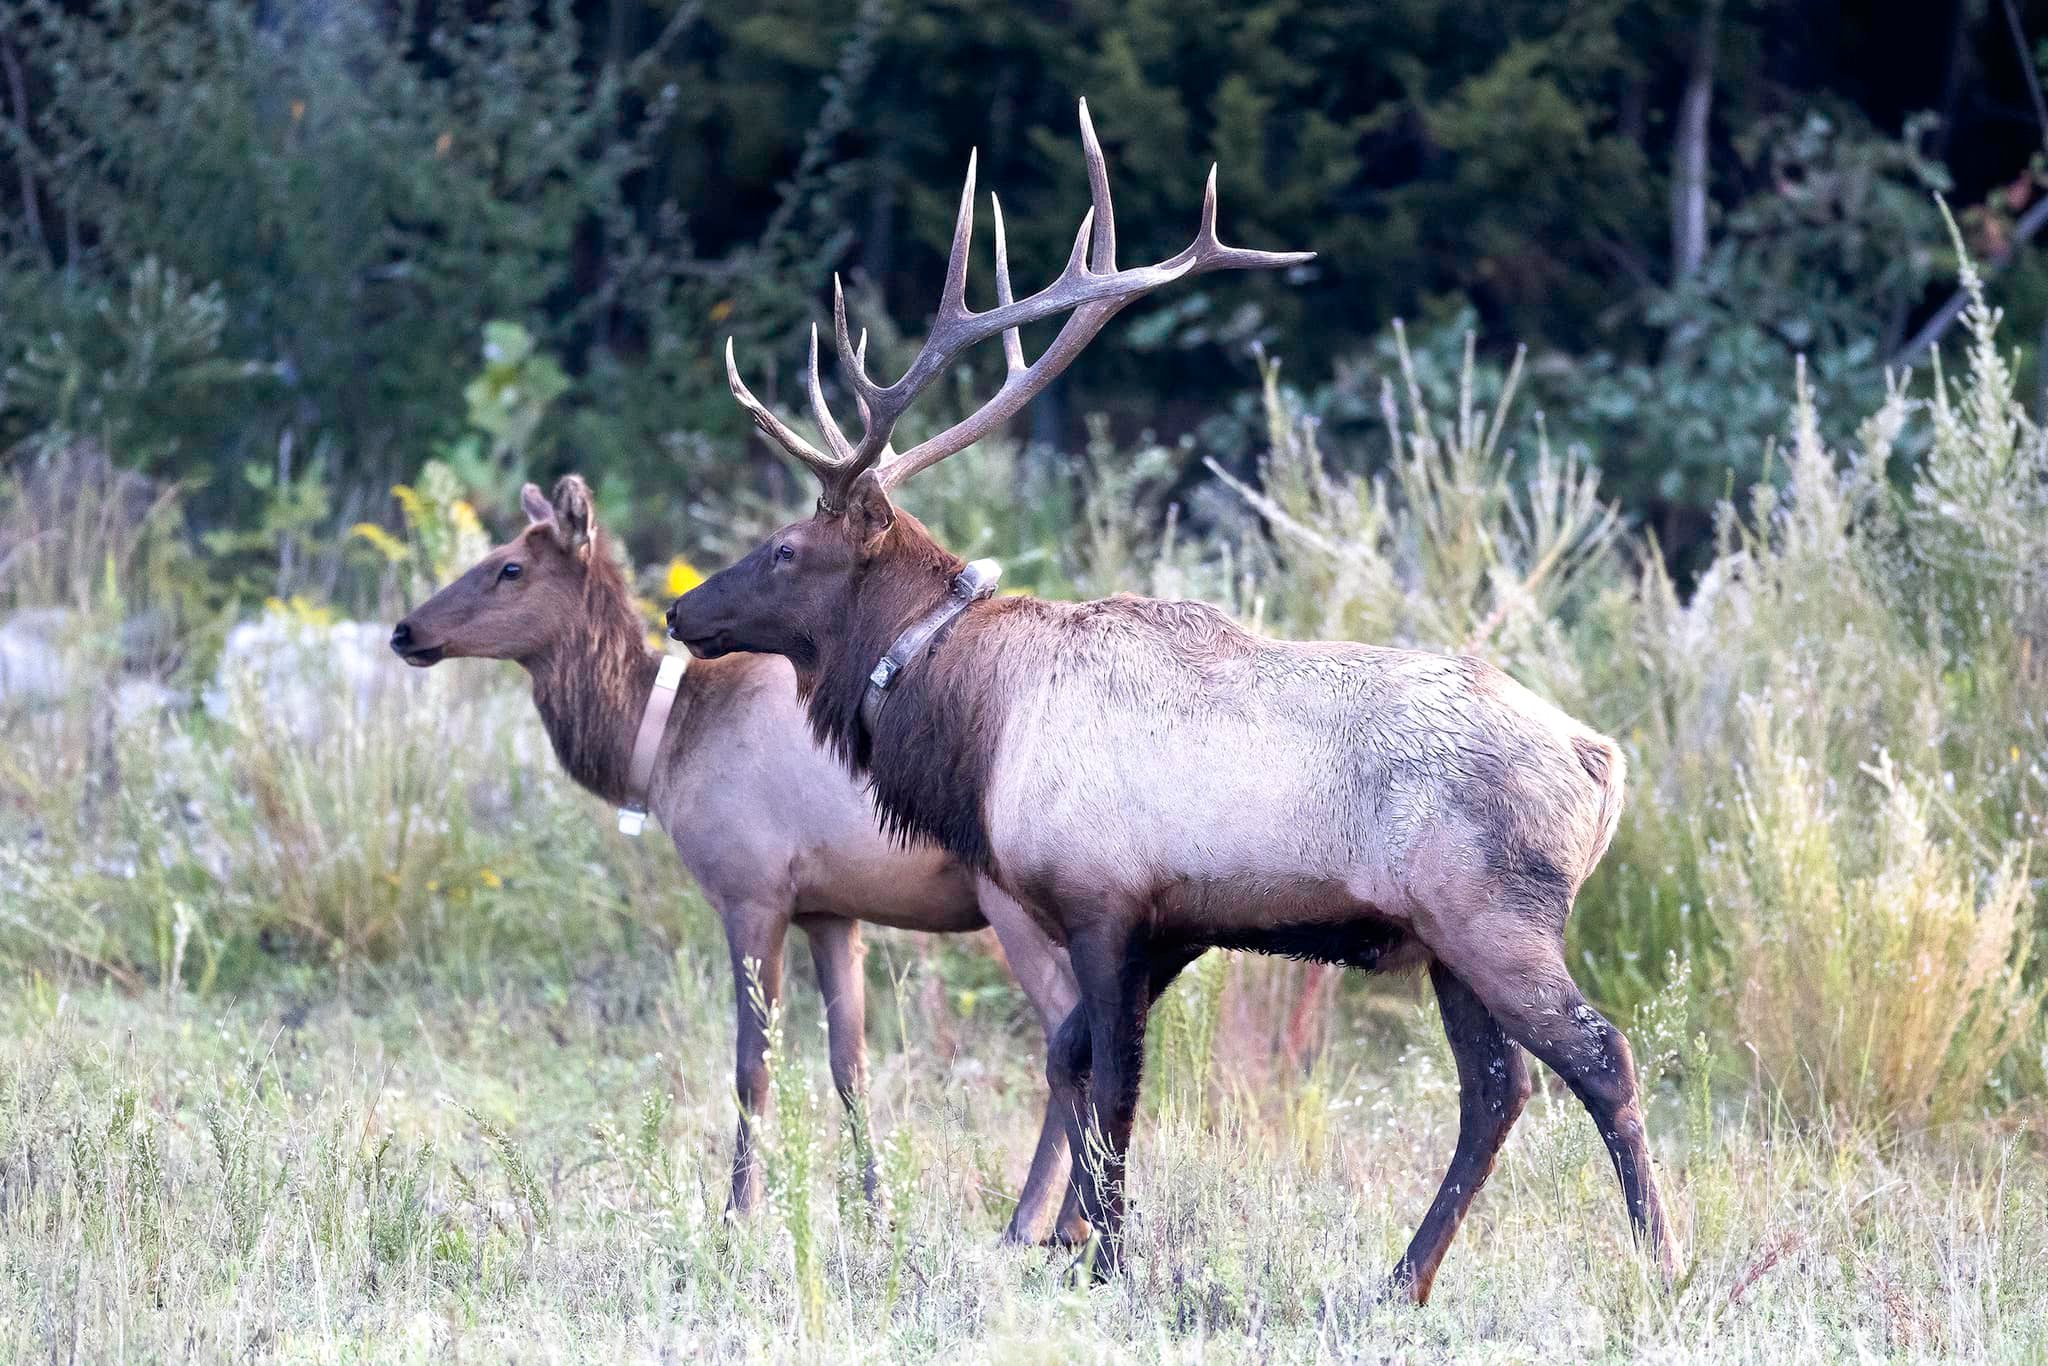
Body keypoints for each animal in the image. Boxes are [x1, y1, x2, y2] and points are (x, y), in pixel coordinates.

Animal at [385, 479, 1089, 1253]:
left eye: (509, 567)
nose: (405, 631)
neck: (659, 749)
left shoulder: (751, 892)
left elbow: (754, 1067)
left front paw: (738, 1215)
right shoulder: (830, 910)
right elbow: (851, 1067)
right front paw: (877, 1213)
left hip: (1012, 901)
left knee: (1065, 1029)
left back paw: (1036, 1222)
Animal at [671, 101, 1679, 1302]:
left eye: (784, 548)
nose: (682, 612)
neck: (975, 729)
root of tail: (1603, 762)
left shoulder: (1105, 897)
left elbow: (1112, 1084)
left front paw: (1108, 1258)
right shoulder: (1175, 922)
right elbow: (1071, 1058)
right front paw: (1073, 1243)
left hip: (1493, 911)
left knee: (1598, 1058)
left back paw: (1660, 1263)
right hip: (1442, 935)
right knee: (1496, 1091)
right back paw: (1400, 1278)